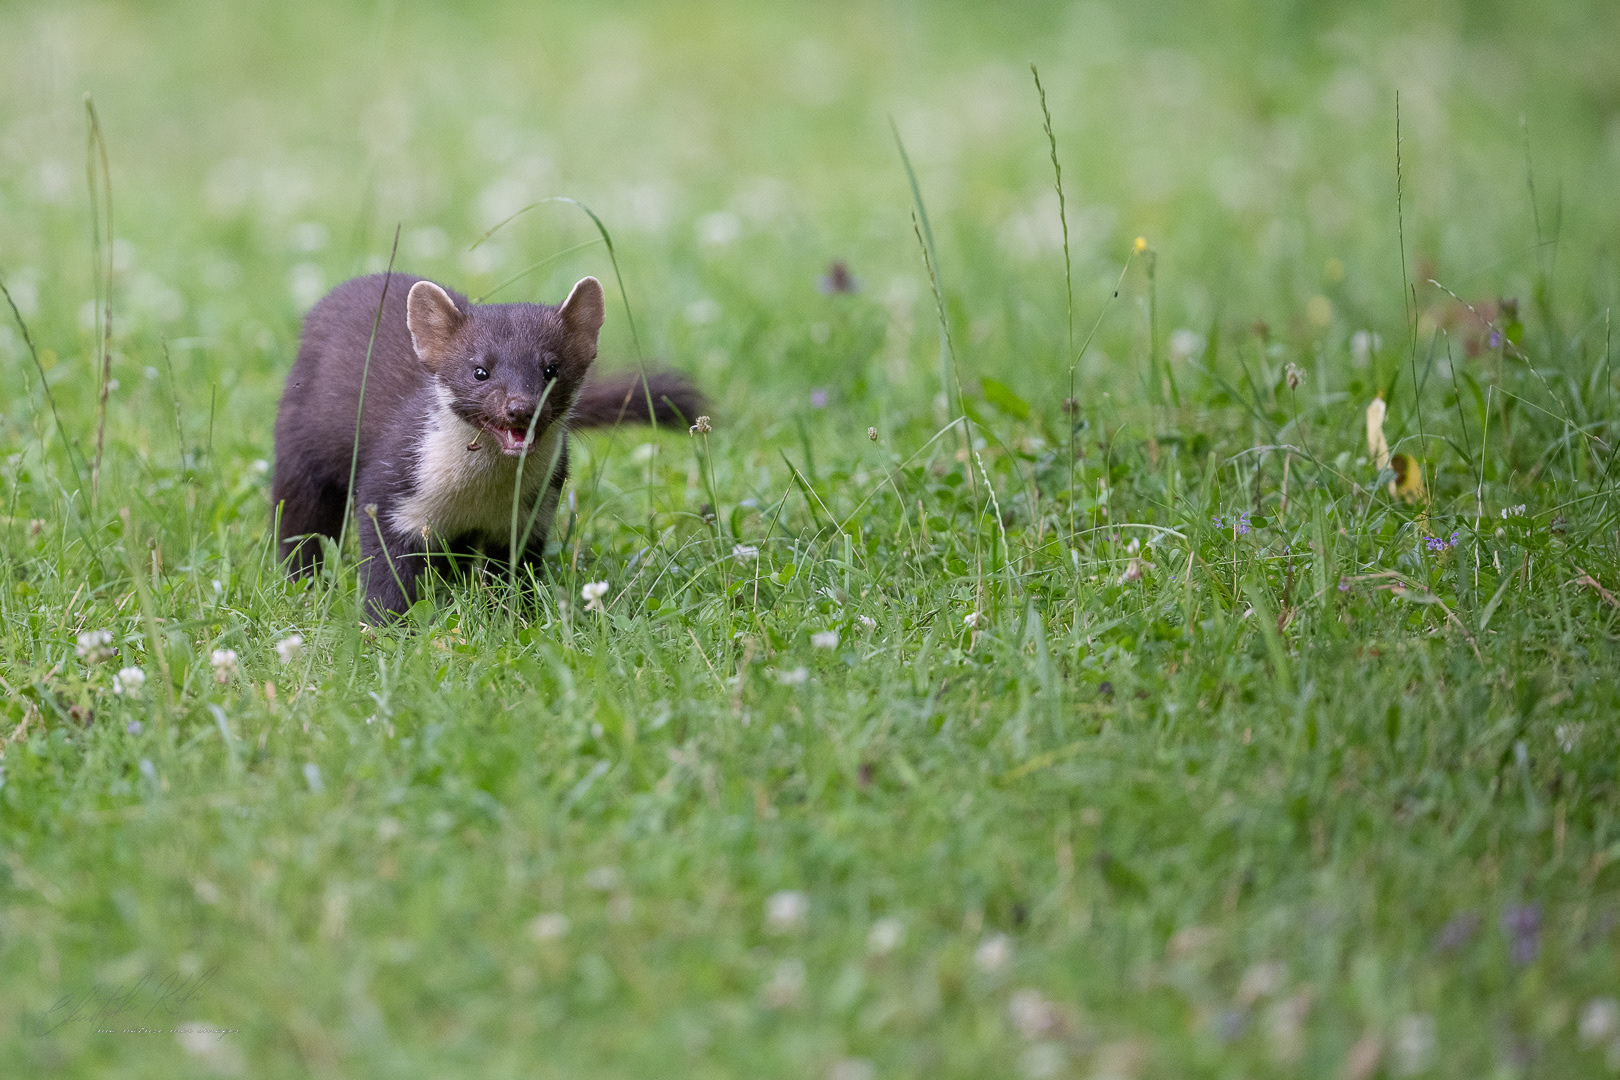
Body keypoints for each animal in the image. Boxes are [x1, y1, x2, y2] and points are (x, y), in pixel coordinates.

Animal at [271, 273, 704, 620]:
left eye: (551, 368)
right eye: (480, 370)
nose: (520, 406)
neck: (477, 494)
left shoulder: (528, 516)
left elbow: (514, 576)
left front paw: (517, 618)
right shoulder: (389, 492)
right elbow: (386, 573)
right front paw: (384, 625)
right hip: (300, 452)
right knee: (299, 522)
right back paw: (302, 582)